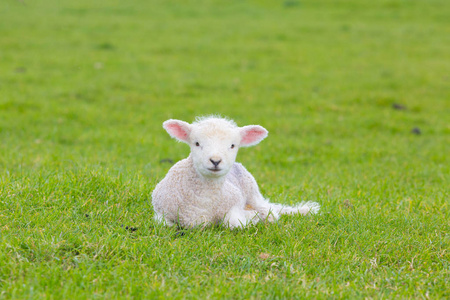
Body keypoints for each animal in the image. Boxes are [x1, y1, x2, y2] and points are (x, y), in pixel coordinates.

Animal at [151, 116, 320, 229]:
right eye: (197, 143)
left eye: (232, 145)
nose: (215, 161)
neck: (205, 199)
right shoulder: (161, 212)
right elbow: (166, 224)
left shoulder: (234, 204)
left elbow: (233, 223)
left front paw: (252, 218)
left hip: (252, 191)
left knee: (270, 210)